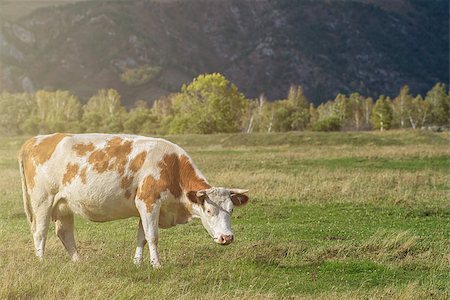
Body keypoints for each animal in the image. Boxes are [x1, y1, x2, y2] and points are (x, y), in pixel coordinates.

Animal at [18, 134, 250, 268]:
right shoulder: (148, 202)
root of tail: (35, 140)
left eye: (231, 210)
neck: (172, 166)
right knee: (40, 232)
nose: (227, 238)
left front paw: (138, 263)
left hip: (63, 205)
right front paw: (157, 265)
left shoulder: (145, 207)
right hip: (43, 200)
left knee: (64, 233)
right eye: (209, 211)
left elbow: (142, 237)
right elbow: (153, 236)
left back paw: (78, 262)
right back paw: (41, 262)